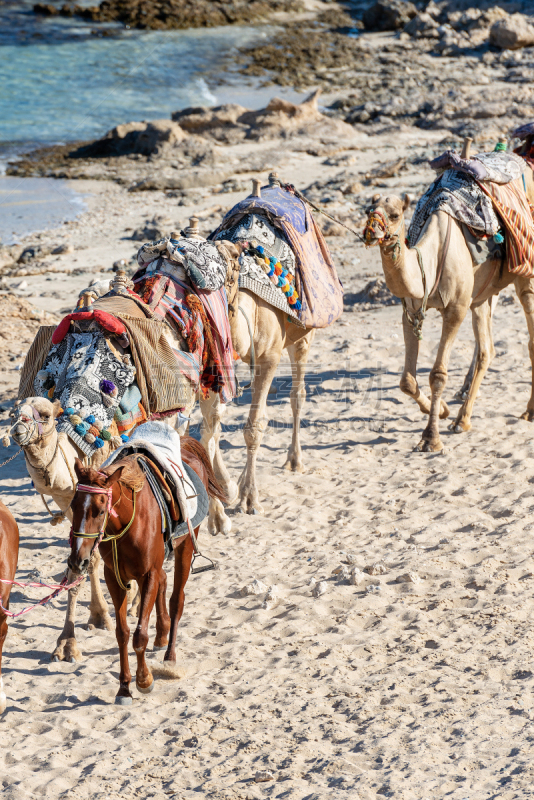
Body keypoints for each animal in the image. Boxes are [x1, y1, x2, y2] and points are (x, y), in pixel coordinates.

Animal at [67, 438, 226, 708]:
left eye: (100, 510)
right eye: (72, 505)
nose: (78, 560)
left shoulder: (147, 574)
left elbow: (140, 635)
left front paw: (144, 680)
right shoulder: (114, 578)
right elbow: (122, 634)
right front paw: (124, 688)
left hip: (185, 549)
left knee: (176, 600)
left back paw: (170, 655)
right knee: (164, 584)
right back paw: (161, 635)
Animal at [366, 194, 534, 454]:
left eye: (394, 214)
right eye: (368, 210)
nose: (372, 230)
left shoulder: (456, 309)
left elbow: (438, 374)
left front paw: (430, 438)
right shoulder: (411, 311)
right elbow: (407, 381)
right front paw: (443, 410)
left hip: (523, 272)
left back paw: (528, 411)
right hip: (482, 294)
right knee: (487, 350)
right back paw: (461, 420)